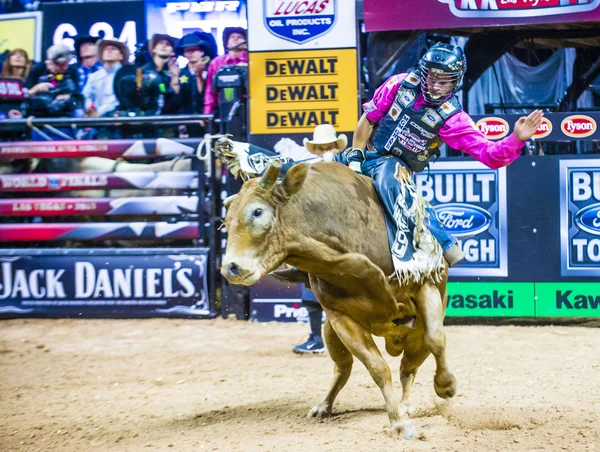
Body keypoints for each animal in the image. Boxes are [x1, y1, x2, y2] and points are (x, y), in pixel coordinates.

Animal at [223, 160, 458, 438]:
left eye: (257, 212)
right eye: (225, 221)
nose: (231, 267)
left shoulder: (425, 283)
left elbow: (436, 339)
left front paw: (446, 386)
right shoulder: (340, 318)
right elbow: (377, 367)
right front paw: (399, 423)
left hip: (414, 339)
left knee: (409, 368)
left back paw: (407, 404)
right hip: (331, 332)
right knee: (344, 368)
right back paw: (325, 406)